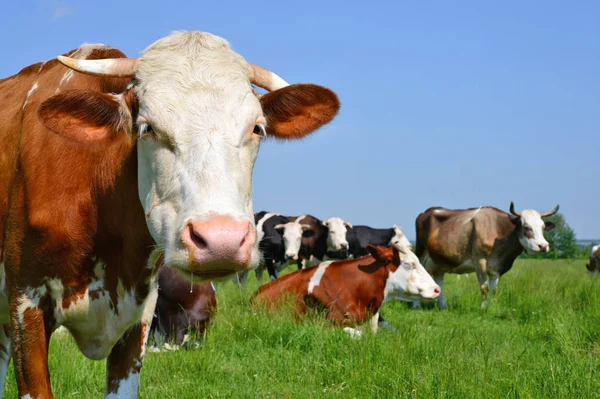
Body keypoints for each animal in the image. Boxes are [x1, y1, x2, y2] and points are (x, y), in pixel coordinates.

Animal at [414, 203, 560, 310]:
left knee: (439, 281)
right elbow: (484, 286)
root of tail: (426, 211)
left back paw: (443, 306)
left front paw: (493, 306)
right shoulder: (480, 260)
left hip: (439, 261)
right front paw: (483, 307)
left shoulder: (496, 267)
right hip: (420, 254)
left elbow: (493, 288)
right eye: (526, 227)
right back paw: (416, 305)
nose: (543, 246)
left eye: (542, 227)